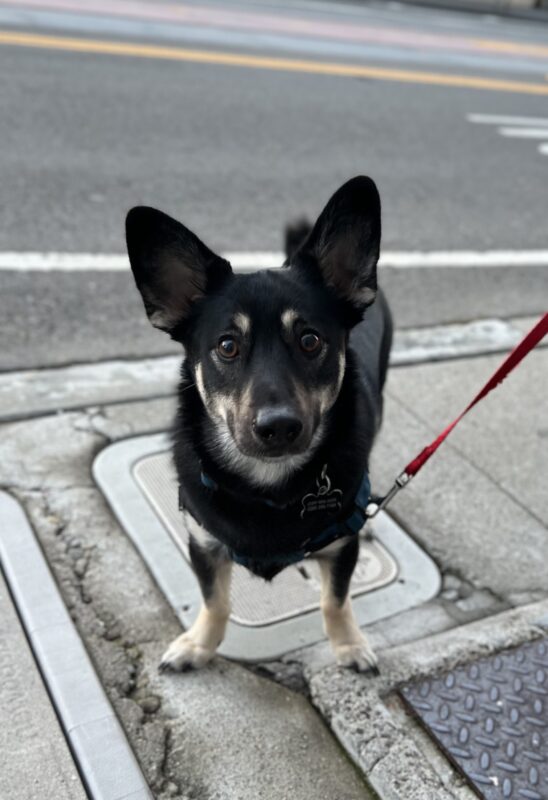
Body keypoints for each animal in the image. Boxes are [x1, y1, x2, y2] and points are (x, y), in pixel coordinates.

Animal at [126, 177, 392, 676]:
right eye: (228, 346)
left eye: (310, 340)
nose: (279, 427)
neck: (268, 485)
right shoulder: (203, 543)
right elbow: (215, 601)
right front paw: (199, 645)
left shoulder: (339, 548)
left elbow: (334, 600)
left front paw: (348, 644)